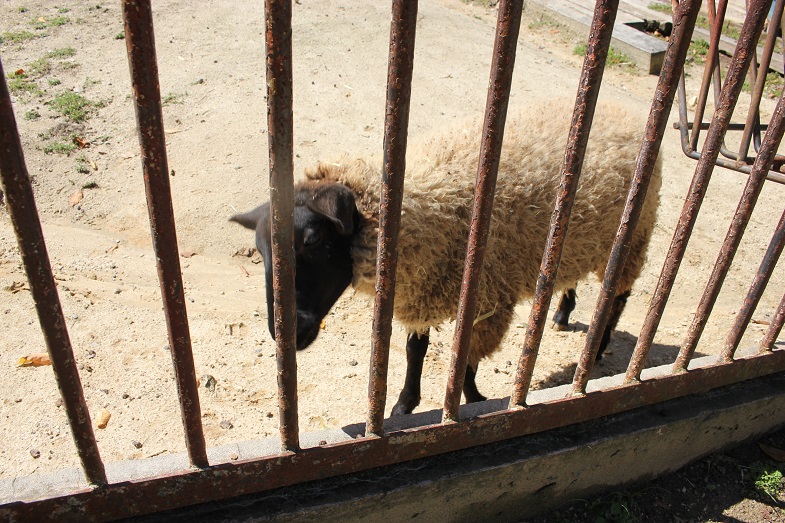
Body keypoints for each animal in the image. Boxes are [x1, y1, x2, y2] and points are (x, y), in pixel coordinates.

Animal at [231, 99, 662, 416]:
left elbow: (467, 357)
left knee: (617, 296)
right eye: (260, 251)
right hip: (579, 239)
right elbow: (414, 351)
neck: (429, 205)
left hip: (632, 235)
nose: (284, 332)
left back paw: (598, 347)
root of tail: (622, 107)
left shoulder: (486, 298)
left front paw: (471, 400)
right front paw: (404, 405)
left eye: (313, 238)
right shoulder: (421, 286)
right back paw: (561, 313)